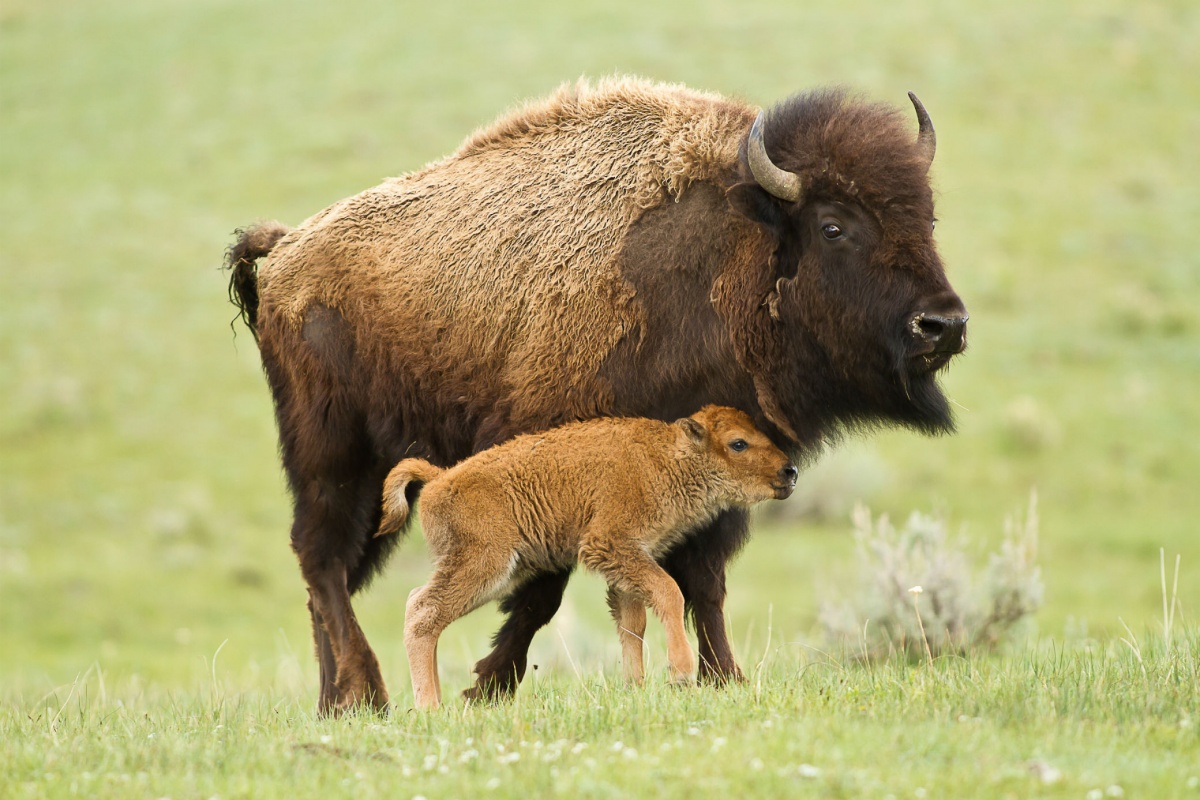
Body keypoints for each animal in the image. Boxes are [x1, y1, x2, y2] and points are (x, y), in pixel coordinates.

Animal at [376, 407, 796, 705]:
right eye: (739, 443)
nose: (789, 471)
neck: (666, 458)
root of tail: (438, 479)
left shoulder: (628, 563)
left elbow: (633, 623)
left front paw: (635, 688)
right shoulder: (611, 545)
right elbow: (669, 593)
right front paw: (679, 674)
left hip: (493, 571)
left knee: (420, 606)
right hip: (484, 566)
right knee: (423, 614)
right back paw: (430, 708)